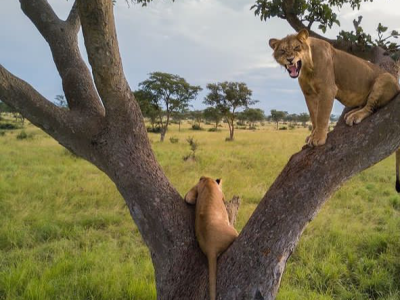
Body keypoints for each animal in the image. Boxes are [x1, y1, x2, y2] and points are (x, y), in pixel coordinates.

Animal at [268, 29, 400, 191]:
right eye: (282, 50)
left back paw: (355, 116)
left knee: (370, 107)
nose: (290, 59)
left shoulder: (327, 89)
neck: (306, 68)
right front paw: (312, 135)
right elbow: (314, 116)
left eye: (297, 48)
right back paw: (351, 113)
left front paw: (318, 138)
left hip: (384, 78)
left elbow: (322, 116)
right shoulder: (309, 94)